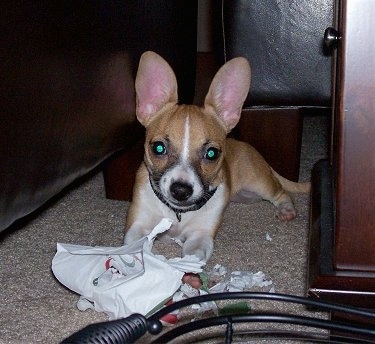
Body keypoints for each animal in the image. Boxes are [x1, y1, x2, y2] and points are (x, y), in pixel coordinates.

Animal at [124, 50, 312, 260]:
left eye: (212, 153)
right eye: (158, 148)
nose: (180, 190)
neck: (178, 213)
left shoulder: (200, 236)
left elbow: (193, 257)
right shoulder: (136, 226)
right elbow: (136, 248)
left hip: (259, 183)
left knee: (282, 193)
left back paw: (286, 209)